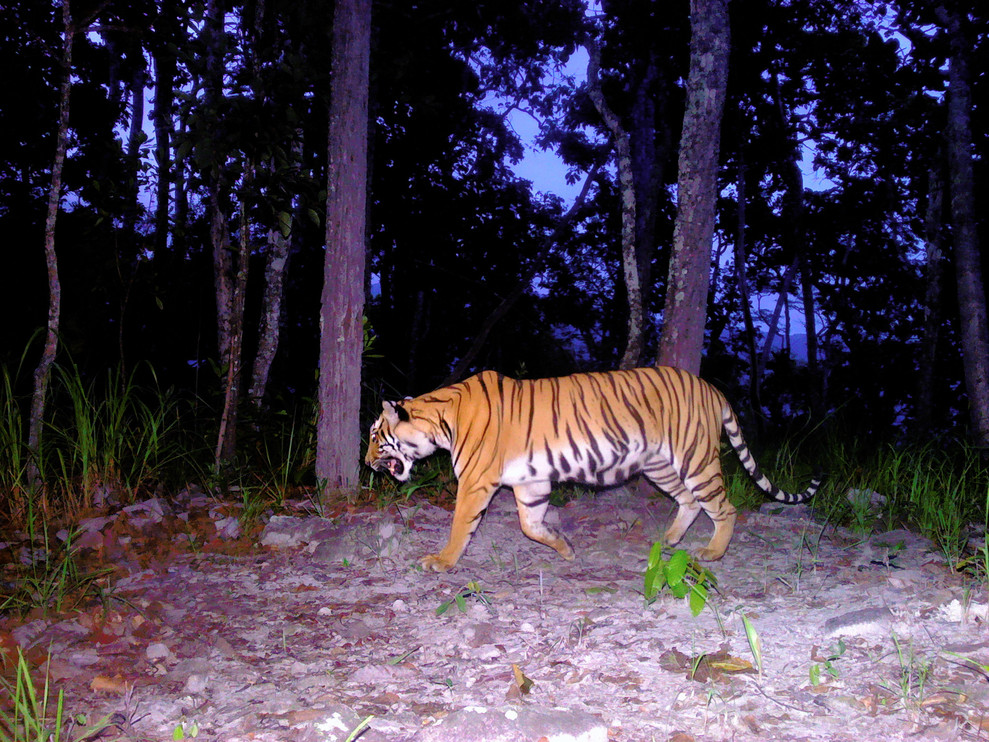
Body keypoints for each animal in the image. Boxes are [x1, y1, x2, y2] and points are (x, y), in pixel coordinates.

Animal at [365, 366, 822, 572]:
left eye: (374, 435)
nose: (366, 462)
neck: (440, 418)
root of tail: (710, 386)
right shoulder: (531, 482)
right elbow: (531, 525)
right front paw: (564, 547)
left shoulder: (475, 483)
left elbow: (462, 524)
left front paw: (441, 561)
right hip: (660, 466)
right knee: (690, 502)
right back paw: (669, 539)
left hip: (695, 459)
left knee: (724, 508)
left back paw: (712, 551)